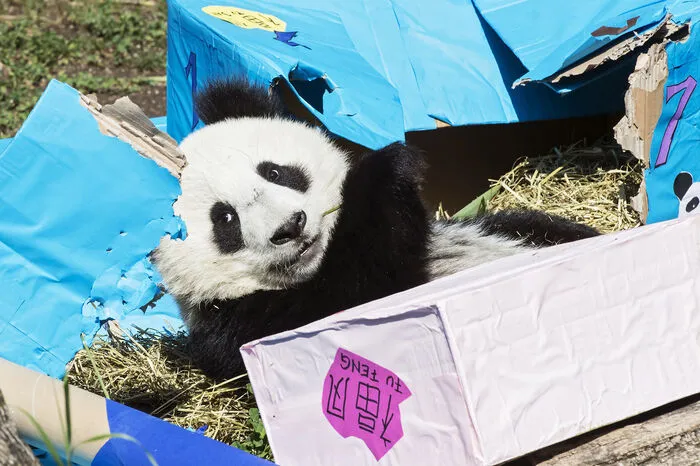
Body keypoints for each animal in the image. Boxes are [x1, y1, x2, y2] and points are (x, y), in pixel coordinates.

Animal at [153, 77, 600, 380]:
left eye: (275, 172)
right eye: (225, 218)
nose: (290, 227)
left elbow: (524, 224)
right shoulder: (237, 324)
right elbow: (361, 292)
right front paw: (385, 168)